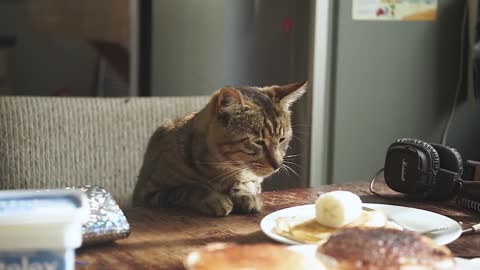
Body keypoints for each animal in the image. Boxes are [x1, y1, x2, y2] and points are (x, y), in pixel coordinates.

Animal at [133, 81, 306, 216]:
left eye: (282, 139)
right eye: (258, 142)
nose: (278, 165)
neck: (221, 170)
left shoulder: (254, 179)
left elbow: (246, 183)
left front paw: (246, 196)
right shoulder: (151, 193)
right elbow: (191, 188)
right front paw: (215, 199)